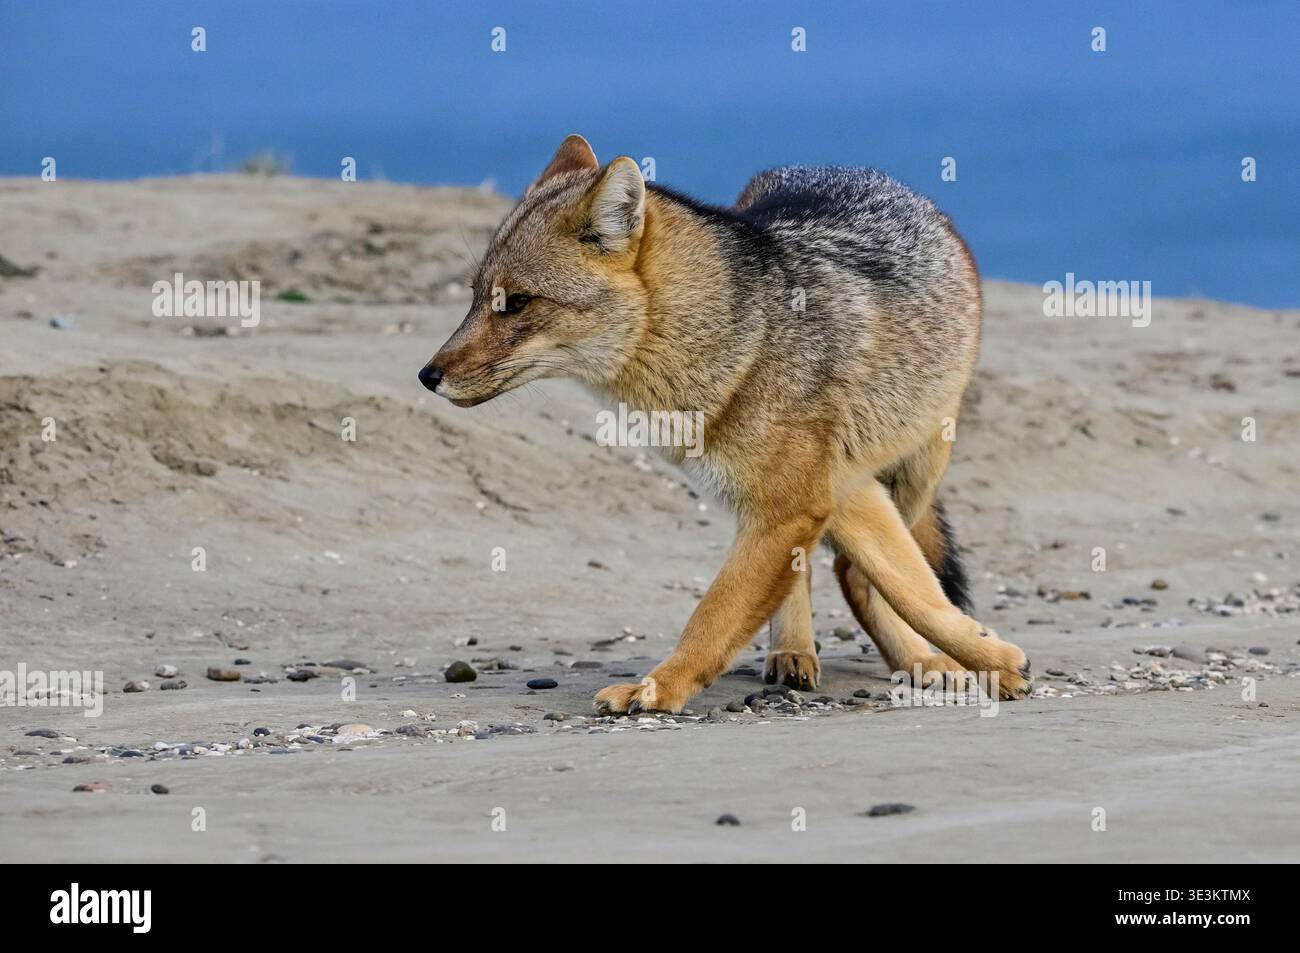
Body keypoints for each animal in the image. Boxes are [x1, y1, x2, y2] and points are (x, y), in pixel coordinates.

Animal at [419, 134, 1032, 714]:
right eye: (477, 298)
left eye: (517, 303)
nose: (427, 376)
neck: (741, 343)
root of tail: (846, 169)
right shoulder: (816, 497)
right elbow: (885, 589)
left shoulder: (807, 498)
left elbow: (722, 614)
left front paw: (658, 687)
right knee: (838, 574)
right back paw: (798, 650)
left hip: (914, 466)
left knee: (855, 573)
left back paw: (917, 659)